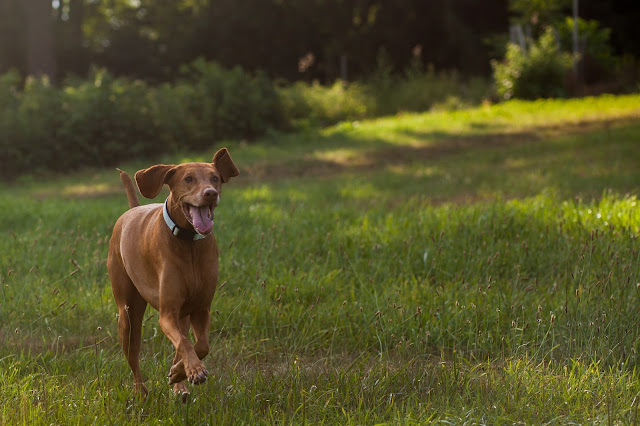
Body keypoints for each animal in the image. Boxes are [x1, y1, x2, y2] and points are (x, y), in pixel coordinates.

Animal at [109, 148, 239, 398]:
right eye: (188, 179)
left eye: (215, 178)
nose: (210, 193)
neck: (189, 243)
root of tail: (131, 210)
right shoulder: (167, 313)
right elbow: (186, 344)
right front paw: (192, 370)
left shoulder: (200, 309)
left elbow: (200, 345)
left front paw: (181, 372)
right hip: (128, 316)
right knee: (133, 356)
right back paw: (141, 391)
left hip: (182, 315)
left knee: (182, 340)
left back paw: (180, 384)